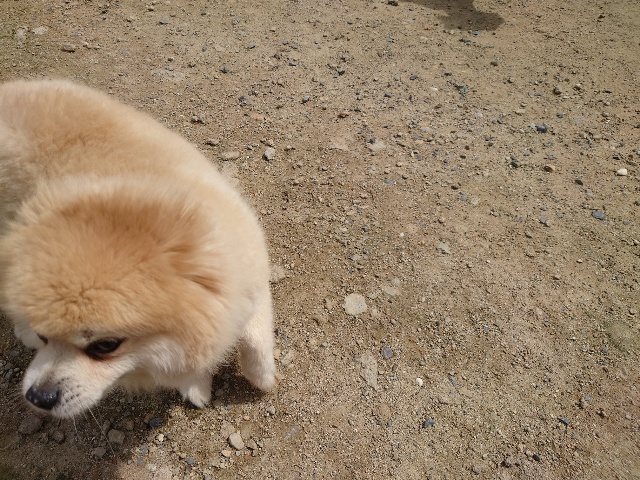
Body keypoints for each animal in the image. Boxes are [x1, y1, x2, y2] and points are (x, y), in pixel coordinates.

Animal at [0, 79, 276, 418]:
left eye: (105, 346)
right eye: (45, 337)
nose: (38, 397)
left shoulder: (249, 275)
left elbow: (255, 337)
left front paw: (263, 378)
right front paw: (197, 385)